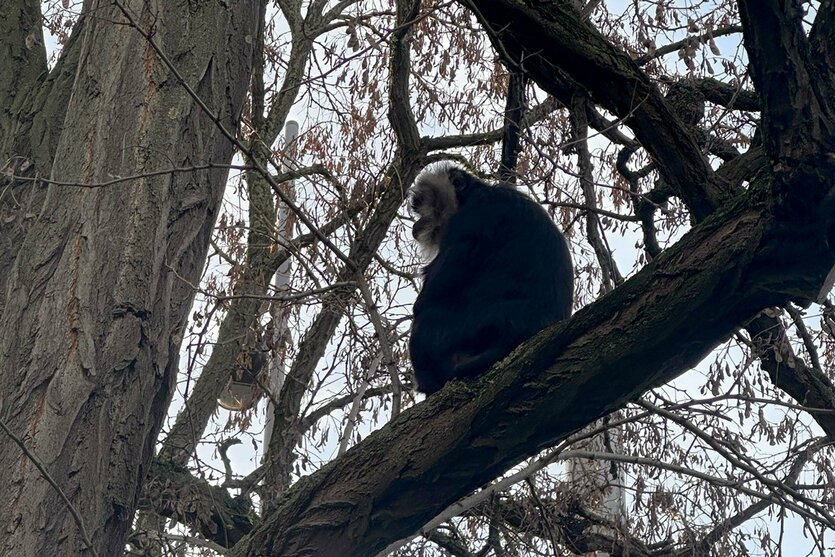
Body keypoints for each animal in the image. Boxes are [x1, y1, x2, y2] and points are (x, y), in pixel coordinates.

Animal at [410, 165, 576, 396]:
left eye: (421, 205)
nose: (417, 224)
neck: (471, 195)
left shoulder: (472, 216)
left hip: (477, 325)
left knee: (427, 321)